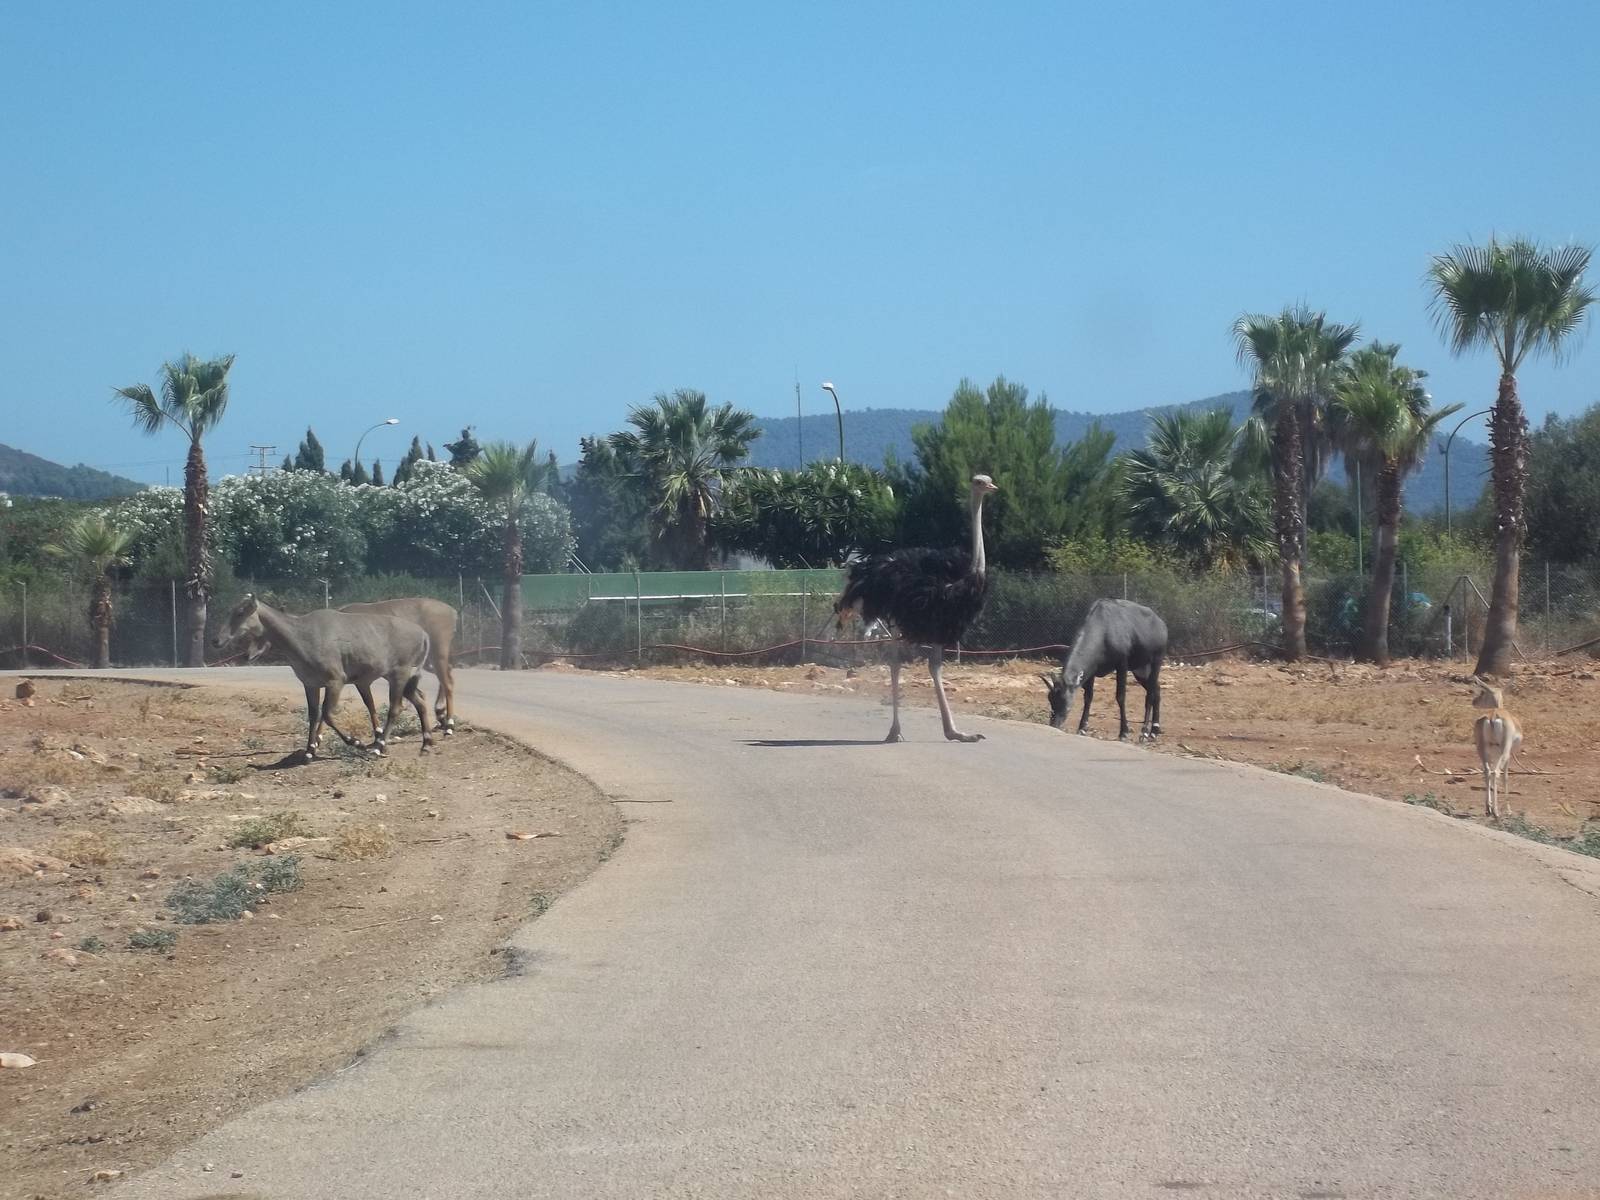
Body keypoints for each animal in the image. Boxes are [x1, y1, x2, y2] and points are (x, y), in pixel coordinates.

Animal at [1471, 676, 1522, 821]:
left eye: (1482, 692)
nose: (1474, 701)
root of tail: (1493, 716)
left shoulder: (1493, 755)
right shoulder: (1508, 755)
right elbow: (1506, 777)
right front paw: (1509, 811)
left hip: (1482, 751)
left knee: (1487, 771)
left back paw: (1488, 809)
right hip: (1504, 752)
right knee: (1496, 773)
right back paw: (1496, 812)